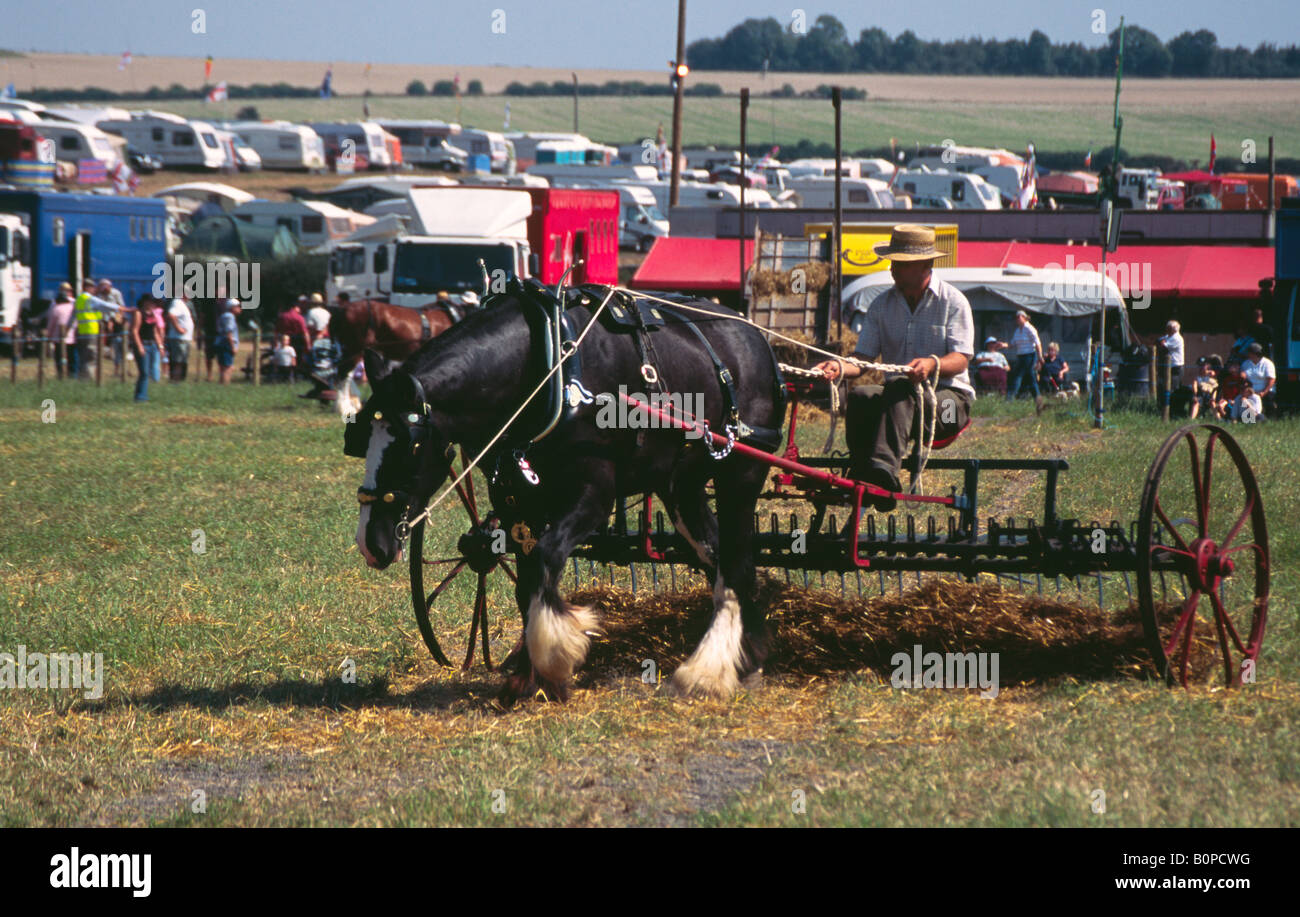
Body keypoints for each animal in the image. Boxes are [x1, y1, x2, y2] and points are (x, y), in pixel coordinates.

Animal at [343, 290, 780, 702]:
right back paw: (746, 658)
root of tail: (754, 335)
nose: (370, 543)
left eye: (408, 447)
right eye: (360, 438)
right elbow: (525, 582)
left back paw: (708, 671)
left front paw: (555, 655)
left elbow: (546, 558)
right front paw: (525, 677)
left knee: (736, 563)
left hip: (740, 476)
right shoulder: (515, 500)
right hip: (682, 486)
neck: (549, 369)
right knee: (722, 557)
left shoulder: (595, 495)